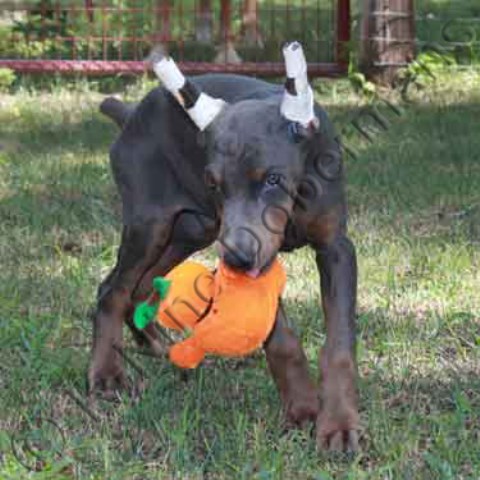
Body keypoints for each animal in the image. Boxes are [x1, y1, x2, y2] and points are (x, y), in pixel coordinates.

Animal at [91, 43, 360, 452]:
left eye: (273, 179)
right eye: (214, 183)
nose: (236, 259)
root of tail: (131, 114)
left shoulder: (336, 248)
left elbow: (339, 345)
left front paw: (339, 425)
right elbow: (282, 341)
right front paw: (302, 409)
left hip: (193, 229)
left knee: (138, 286)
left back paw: (154, 343)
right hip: (151, 222)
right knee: (113, 289)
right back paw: (107, 373)